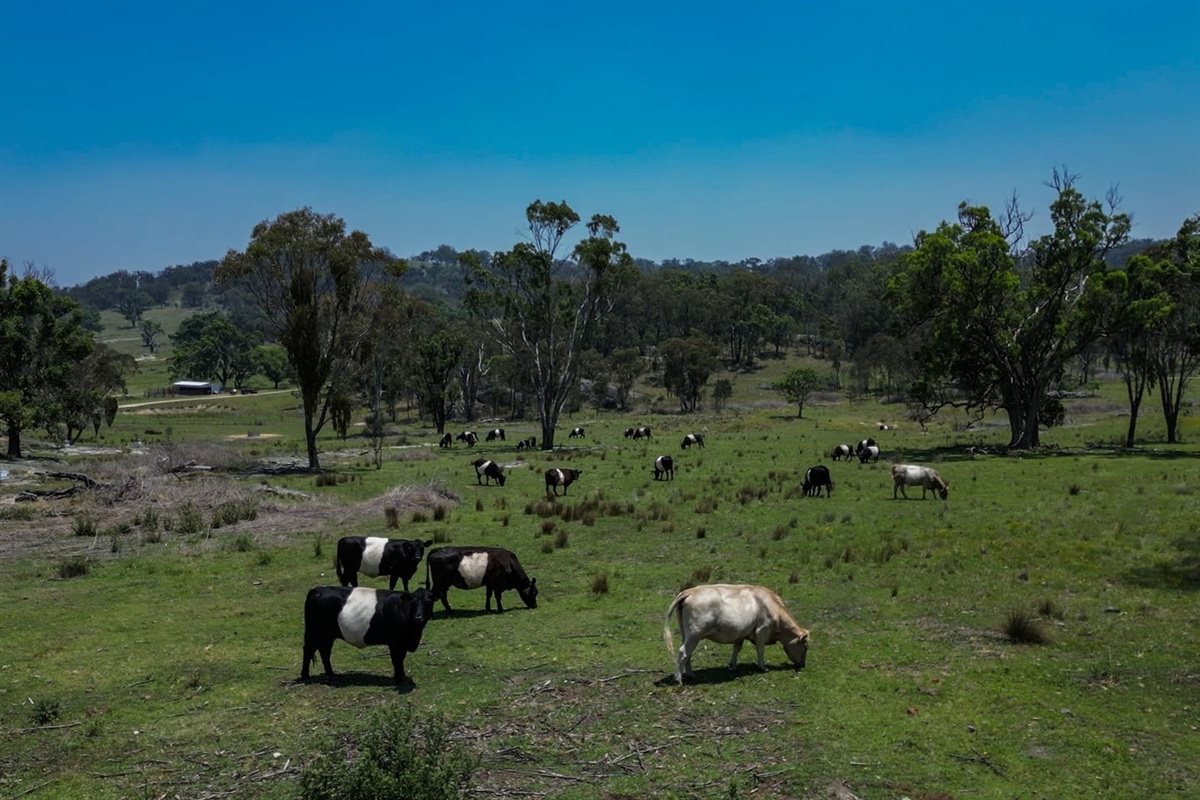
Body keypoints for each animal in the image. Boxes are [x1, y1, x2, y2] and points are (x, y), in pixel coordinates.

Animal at [301, 586, 434, 686]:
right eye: (412, 603)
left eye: (428, 602)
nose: (418, 617)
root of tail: (317, 589)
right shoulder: (394, 643)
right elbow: (397, 660)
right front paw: (398, 679)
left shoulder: (402, 643)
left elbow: (401, 659)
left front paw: (402, 676)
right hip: (314, 633)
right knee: (308, 650)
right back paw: (305, 676)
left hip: (328, 636)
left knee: (325, 652)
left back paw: (331, 674)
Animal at [662, 584, 810, 685]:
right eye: (805, 647)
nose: (802, 664)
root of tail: (690, 591)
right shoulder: (762, 630)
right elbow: (760, 650)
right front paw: (762, 667)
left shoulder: (741, 633)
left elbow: (736, 649)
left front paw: (732, 666)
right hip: (695, 633)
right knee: (683, 651)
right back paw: (678, 678)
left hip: (687, 634)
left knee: (688, 653)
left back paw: (690, 674)